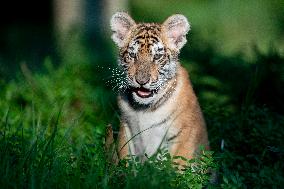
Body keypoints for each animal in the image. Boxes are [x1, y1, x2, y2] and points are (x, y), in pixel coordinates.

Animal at [110, 11, 209, 163]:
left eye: (157, 56)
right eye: (132, 55)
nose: (142, 81)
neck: (144, 109)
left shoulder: (183, 135)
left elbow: (177, 165)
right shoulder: (126, 128)